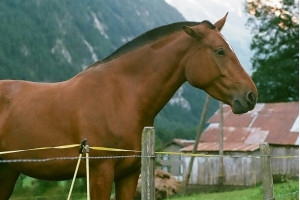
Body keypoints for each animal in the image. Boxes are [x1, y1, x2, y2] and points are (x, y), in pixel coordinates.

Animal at [0, 13, 258, 199]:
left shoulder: (129, 175)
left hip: (9, 171)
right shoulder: (100, 174)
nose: (251, 95)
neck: (121, 98)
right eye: (219, 51)